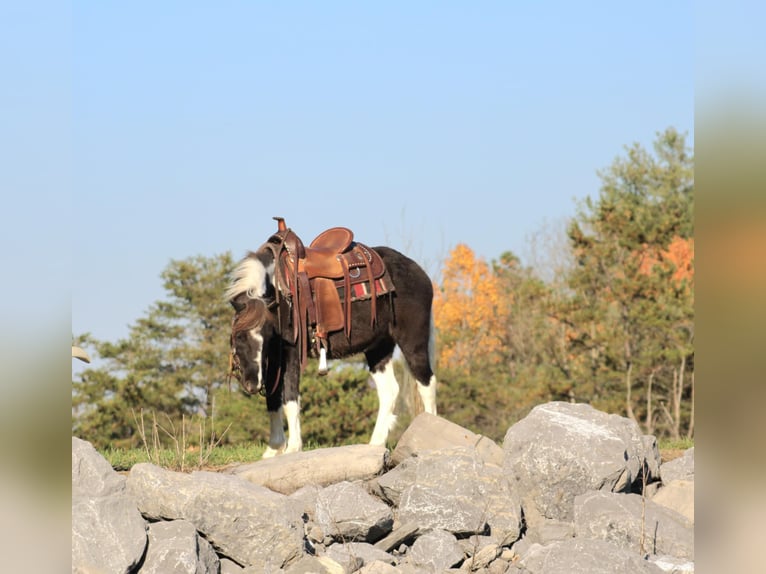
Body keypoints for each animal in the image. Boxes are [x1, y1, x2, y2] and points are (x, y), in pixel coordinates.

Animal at [226, 220, 438, 460]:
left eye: (265, 333)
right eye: (238, 336)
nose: (252, 385)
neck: (280, 291)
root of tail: (419, 273)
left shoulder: (290, 351)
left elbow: (290, 399)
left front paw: (292, 448)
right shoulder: (273, 357)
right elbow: (272, 401)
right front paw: (273, 449)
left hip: (413, 341)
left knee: (426, 383)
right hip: (379, 348)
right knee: (390, 391)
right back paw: (375, 444)